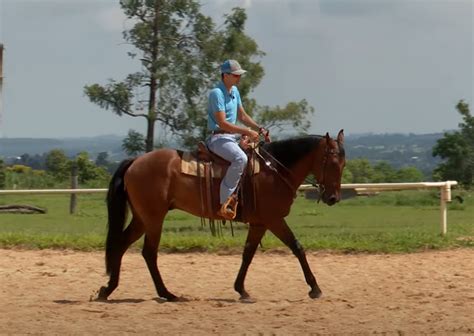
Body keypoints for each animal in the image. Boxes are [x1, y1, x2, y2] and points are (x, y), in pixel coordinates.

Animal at [98, 130, 346, 300]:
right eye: (333, 162)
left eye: (343, 164)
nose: (333, 198)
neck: (274, 170)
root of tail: (135, 161)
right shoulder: (274, 220)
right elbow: (297, 247)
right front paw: (315, 288)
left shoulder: (259, 223)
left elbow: (248, 254)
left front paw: (241, 289)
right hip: (153, 219)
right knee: (149, 253)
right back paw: (166, 293)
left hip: (142, 218)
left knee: (121, 244)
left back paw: (108, 289)